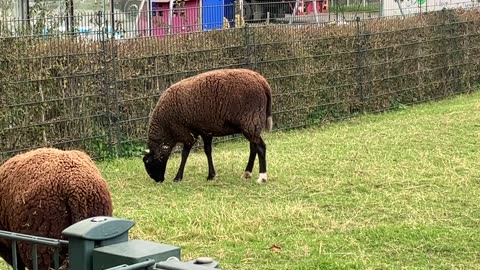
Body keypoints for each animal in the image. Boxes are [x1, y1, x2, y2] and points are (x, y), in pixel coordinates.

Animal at [142, 68, 274, 185]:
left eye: (149, 162)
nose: (158, 180)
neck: (167, 128)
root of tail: (263, 83)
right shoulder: (204, 130)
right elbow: (207, 151)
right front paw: (211, 175)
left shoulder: (188, 132)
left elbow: (185, 154)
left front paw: (178, 178)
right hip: (251, 124)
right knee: (253, 147)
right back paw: (247, 173)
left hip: (251, 120)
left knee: (261, 147)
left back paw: (262, 177)